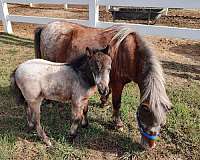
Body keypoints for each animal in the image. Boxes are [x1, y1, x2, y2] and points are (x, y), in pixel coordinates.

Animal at [34, 21, 172, 149]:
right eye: (143, 122)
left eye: (162, 124)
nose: (149, 146)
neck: (130, 53)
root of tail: (45, 27)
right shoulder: (118, 84)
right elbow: (117, 103)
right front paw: (118, 123)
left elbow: (107, 92)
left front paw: (104, 102)